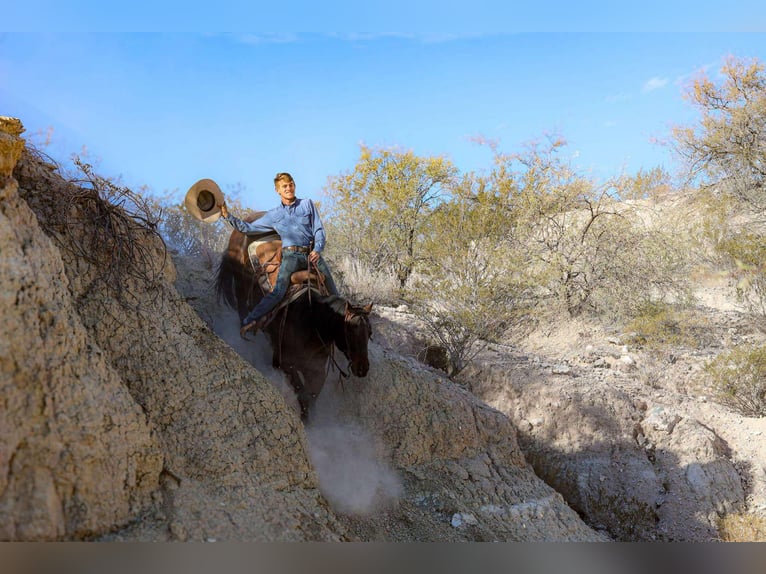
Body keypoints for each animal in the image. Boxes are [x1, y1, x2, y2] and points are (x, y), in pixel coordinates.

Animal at [214, 217, 373, 421]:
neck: (311, 321)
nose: (363, 368)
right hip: (241, 288)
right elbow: (301, 392)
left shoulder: (316, 370)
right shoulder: (286, 363)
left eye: (369, 334)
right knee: (243, 310)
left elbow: (311, 395)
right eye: (350, 333)